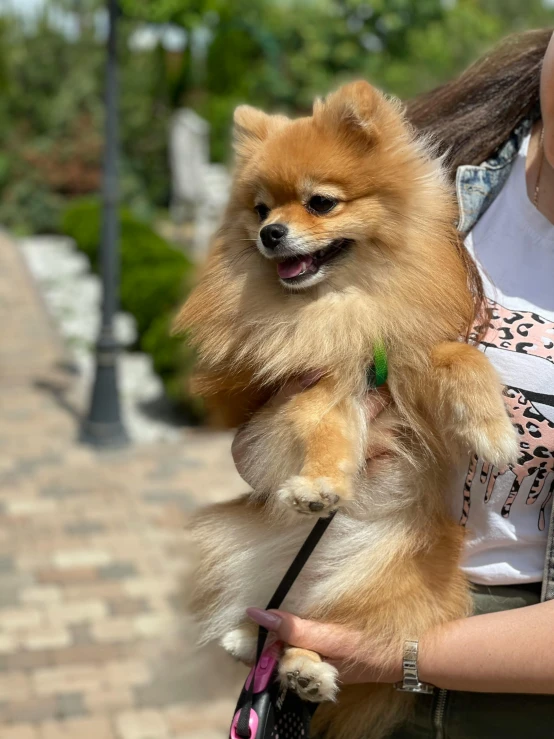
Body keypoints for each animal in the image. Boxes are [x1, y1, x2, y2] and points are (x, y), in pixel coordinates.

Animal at [177, 81, 516, 739]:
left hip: (401, 583)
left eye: (321, 203)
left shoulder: (411, 353)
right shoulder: (314, 382)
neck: (344, 305)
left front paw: (493, 432)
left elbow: (463, 360)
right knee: (269, 621)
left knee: (333, 633)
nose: (271, 233)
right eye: (260, 208)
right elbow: (328, 425)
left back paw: (301, 666)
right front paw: (320, 486)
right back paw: (258, 643)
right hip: (228, 538)